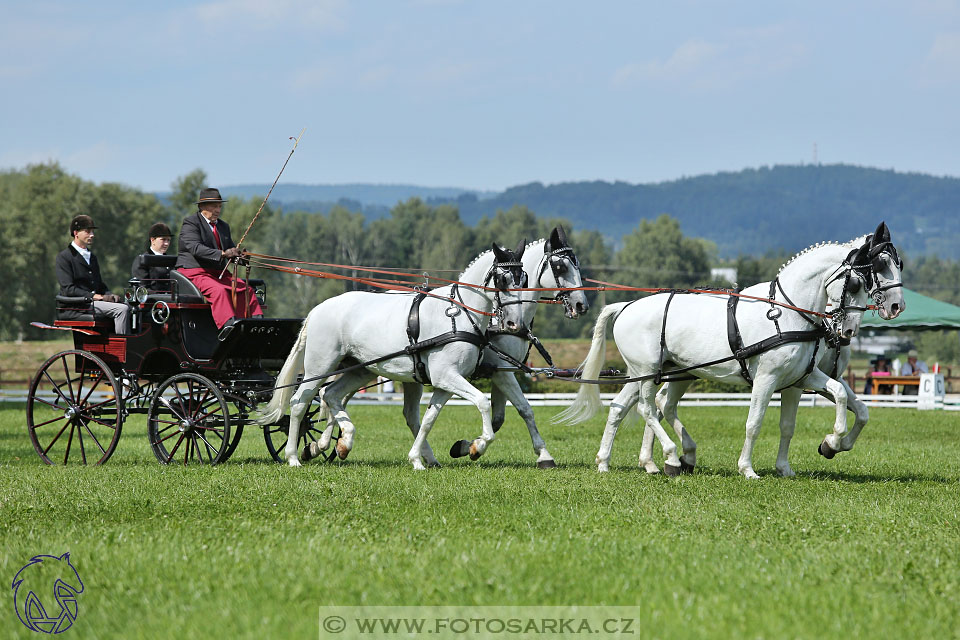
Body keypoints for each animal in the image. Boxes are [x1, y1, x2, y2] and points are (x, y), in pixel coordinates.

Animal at [251, 242, 528, 468]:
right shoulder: (446, 376)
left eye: (524, 280)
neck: (457, 314)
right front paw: (477, 446)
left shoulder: (445, 382)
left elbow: (428, 419)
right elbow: (482, 401)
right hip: (319, 366)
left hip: (359, 369)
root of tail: (318, 309)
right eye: (503, 280)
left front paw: (418, 458)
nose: (514, 324)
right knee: (300, 402)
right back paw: (293, 457)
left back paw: (343, 442)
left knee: (331, 395)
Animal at [560, 222, 904, 478]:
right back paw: (670, 456)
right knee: (647, 408)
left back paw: (611, 462)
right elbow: (754, 423)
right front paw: (747, 469)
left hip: (661, 373)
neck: (788, 312)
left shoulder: (801, 379)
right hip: (647, 372)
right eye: (861, 279)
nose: (847, 331)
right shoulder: (767, 379)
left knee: (627, 407)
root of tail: (626, 305)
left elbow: (820, 412)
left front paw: (822, 448)